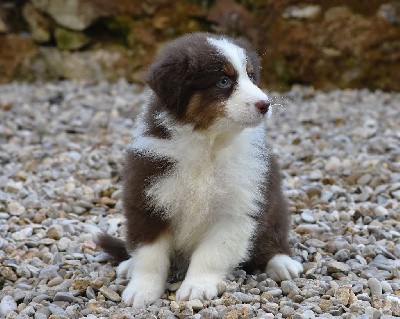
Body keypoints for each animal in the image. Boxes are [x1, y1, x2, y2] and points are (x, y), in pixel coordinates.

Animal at [97, 31, 304, 308]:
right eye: (224, 81)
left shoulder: (236, 209)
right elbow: (149, 254)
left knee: (273, 237)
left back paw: (282, 262)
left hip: (274, 205)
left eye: (251, 76)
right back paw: (128, 265)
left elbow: (212, 253)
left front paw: (197, 287)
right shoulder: (148, 198)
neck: (208, 144)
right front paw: (142, 289)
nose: (265, 104)